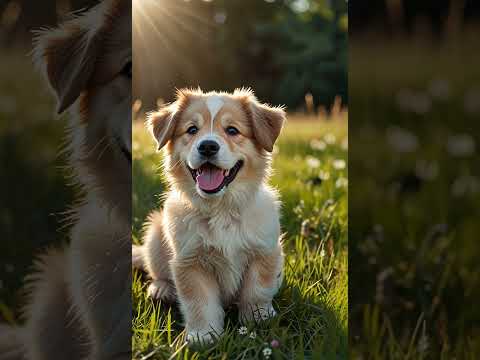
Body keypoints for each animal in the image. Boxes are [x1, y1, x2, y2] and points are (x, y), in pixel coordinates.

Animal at [133, 87, 286, 344]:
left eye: (232, 130)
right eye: (192, 130)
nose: (207, 146)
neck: (221, 209)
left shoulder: (264, 253)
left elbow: (257, 291)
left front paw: (258, 320)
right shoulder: (191, 262)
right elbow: (200, 303)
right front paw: (203, 336)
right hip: (155, 233)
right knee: (157, 270)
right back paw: (161, 289)